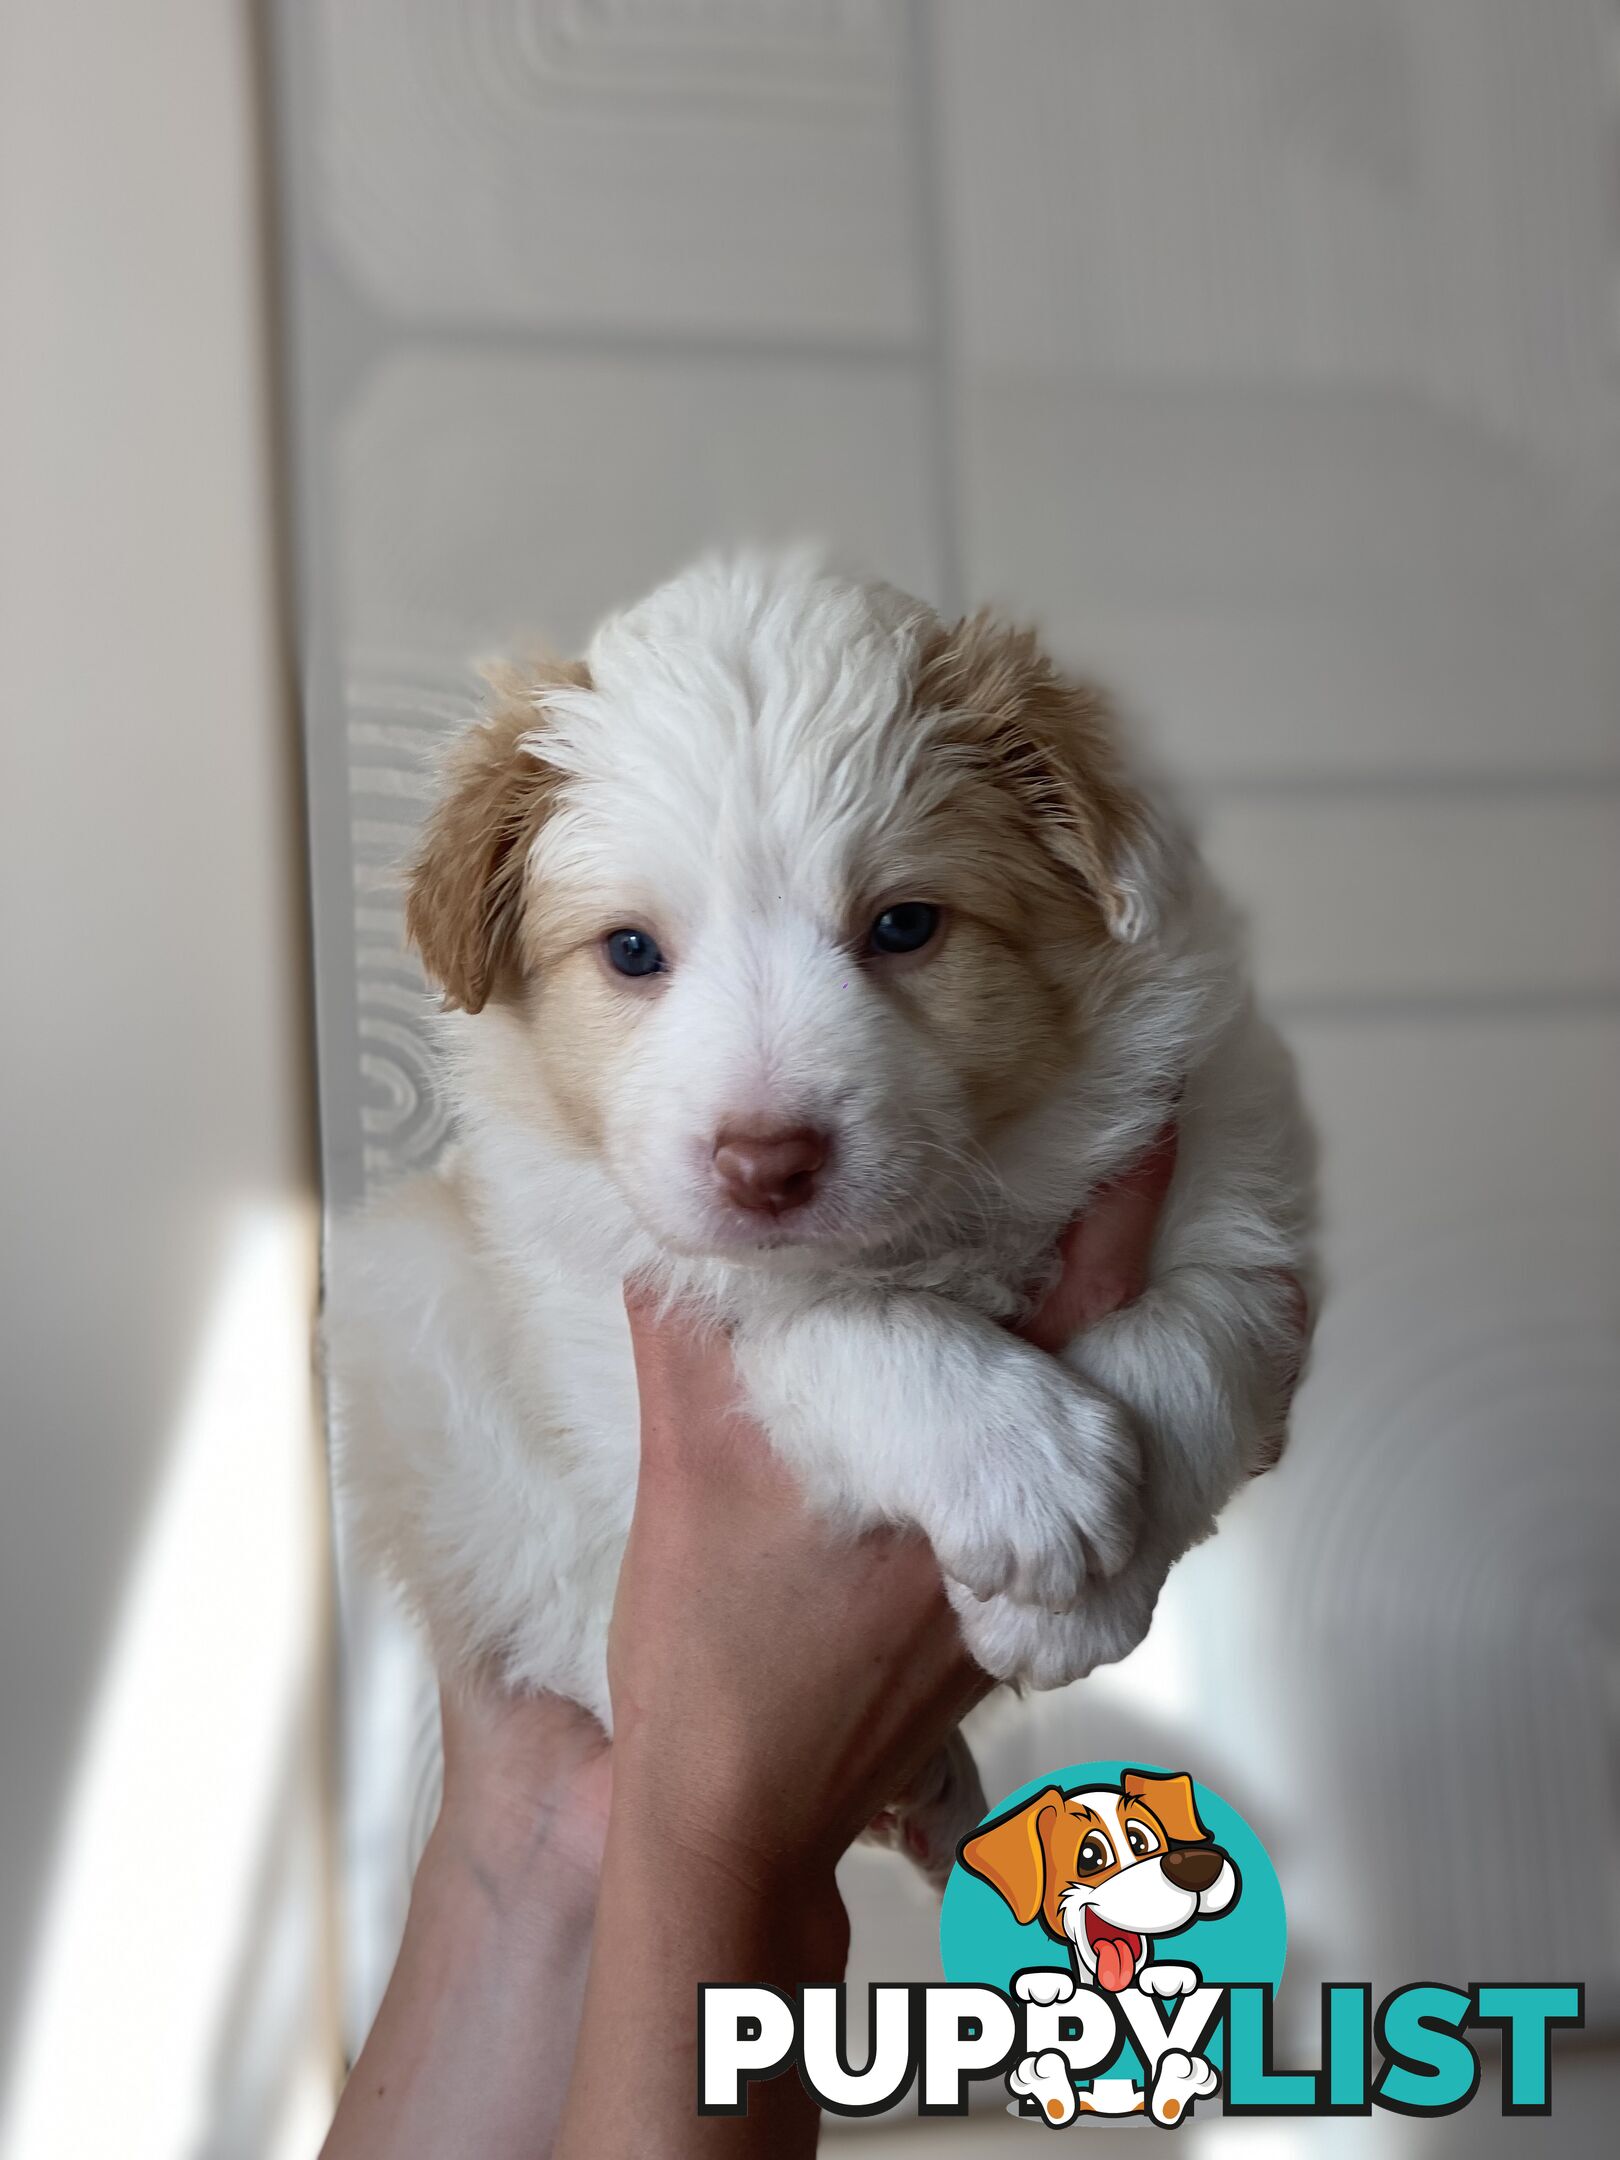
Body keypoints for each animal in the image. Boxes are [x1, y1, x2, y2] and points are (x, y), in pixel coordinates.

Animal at [330, 552, 1321, 1874]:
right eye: (631, 952)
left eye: (903, 925)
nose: (765, 1164)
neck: (945, 1217)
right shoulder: (626, 1307)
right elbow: (820, 1323)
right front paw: (1026, 1472)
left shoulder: (1238, 1185)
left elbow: (1193, 1334)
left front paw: (1083, 1596)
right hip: (410, 1318)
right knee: (548, 1590)